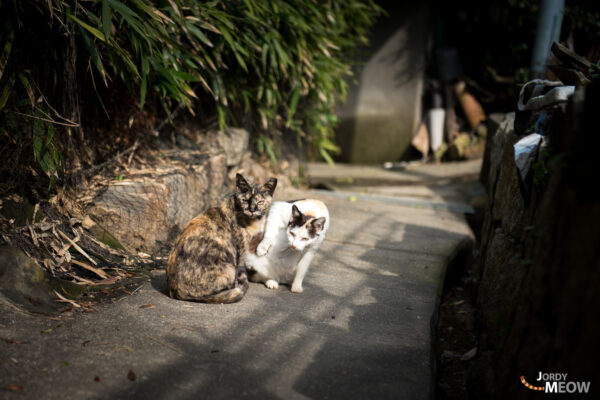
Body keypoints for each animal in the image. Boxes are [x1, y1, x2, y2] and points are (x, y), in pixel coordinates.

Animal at [165, 173, 276, 302]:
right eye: (245, 200)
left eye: (260, 202)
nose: (252, 209)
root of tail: (176, 291)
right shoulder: (238, 250)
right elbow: (236, 272)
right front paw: (236, 286)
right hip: (228, 266)